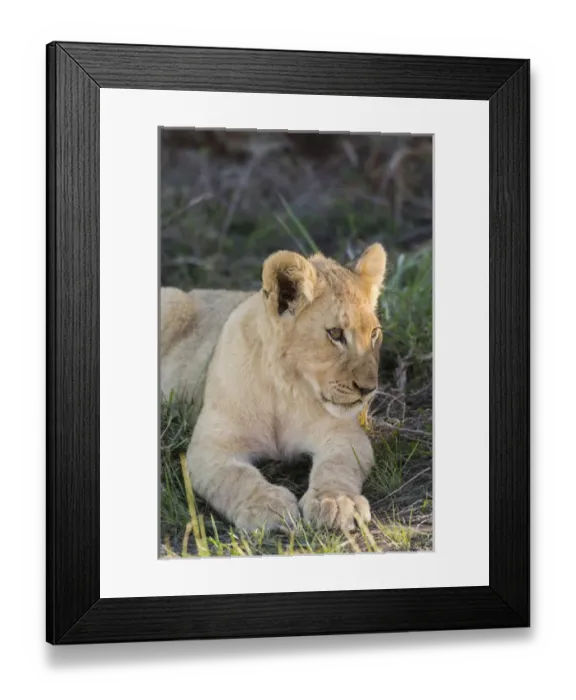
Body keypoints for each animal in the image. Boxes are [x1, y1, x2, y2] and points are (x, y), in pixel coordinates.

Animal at [160, 243, 387, 532]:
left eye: (374, 333)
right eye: (335, 334)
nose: (368, 388)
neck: (285, 388)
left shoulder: (343, 434)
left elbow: (337, 466)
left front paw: (336, 501)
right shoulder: (211, 445)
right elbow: (236, 476)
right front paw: (266, 506)